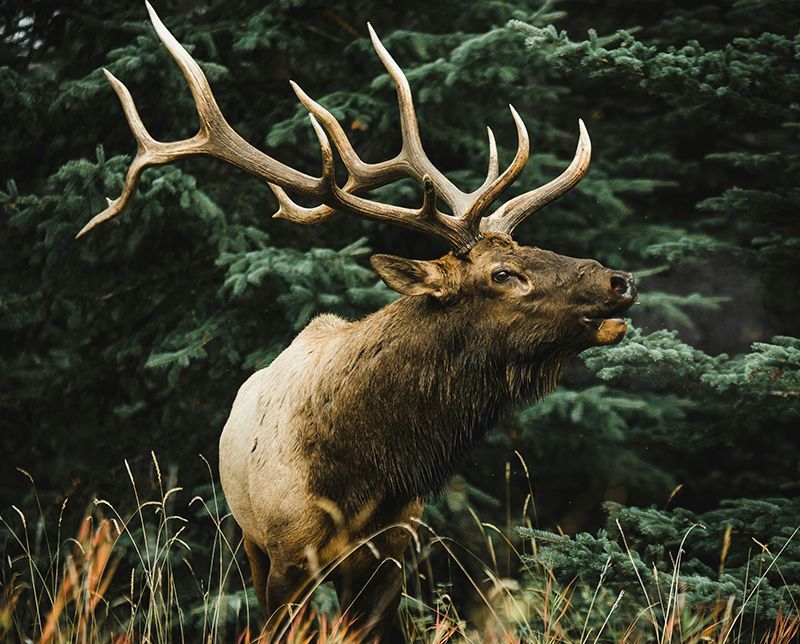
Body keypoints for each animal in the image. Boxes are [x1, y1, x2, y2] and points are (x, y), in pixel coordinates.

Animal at [78, 3, 638, 641]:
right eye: (502, 273)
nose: (619, 281)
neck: (363, 474)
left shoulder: (393, 551)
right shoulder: (287, 550)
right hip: (248, 538)